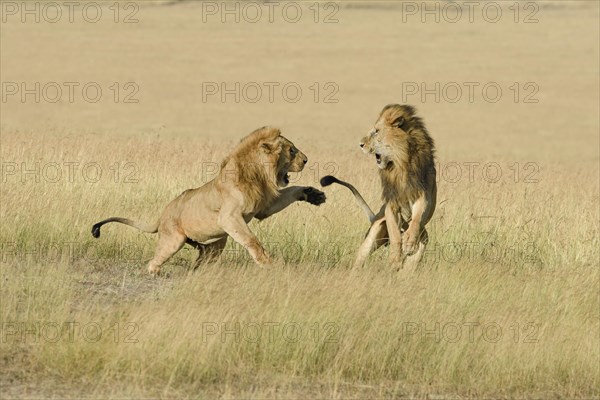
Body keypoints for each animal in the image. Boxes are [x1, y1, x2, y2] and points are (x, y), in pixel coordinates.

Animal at [93, 126, 326, 276]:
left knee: (201, 261)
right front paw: (268, 264)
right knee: (154, 260)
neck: (258, 174)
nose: (306, 160)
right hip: (173, 240)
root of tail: (162, 215)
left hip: (214, 245)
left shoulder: (263, 208)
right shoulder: (229, 217)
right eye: (292, 150)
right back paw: (155, 273)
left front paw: (313, 194)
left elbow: (292, 191)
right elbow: (252, 241)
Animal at [324, 104, 436, 270]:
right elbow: (395, 234)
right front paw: (395, 259)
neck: (400, 164)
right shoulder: (392, 204)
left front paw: (408, 243)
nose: (360, 145)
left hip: (422, 238)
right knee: (360, 258)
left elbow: (416, 219)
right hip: (373, 235)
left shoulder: (423, 196)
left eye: (376, 131)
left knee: (416, 253)